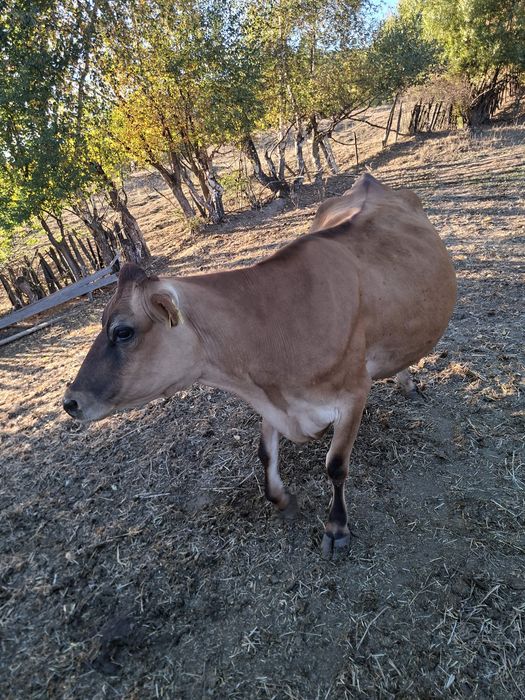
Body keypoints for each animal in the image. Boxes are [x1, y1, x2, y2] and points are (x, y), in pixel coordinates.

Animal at [63, 174, 456, 556]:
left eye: (122, 331)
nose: (70, 402)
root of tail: (370, 180)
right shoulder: (272, 397)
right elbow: (265, 453)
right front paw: (283, 500)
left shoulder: (353, 392)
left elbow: (336, 465)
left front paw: (336, 528)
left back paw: (408, 384)